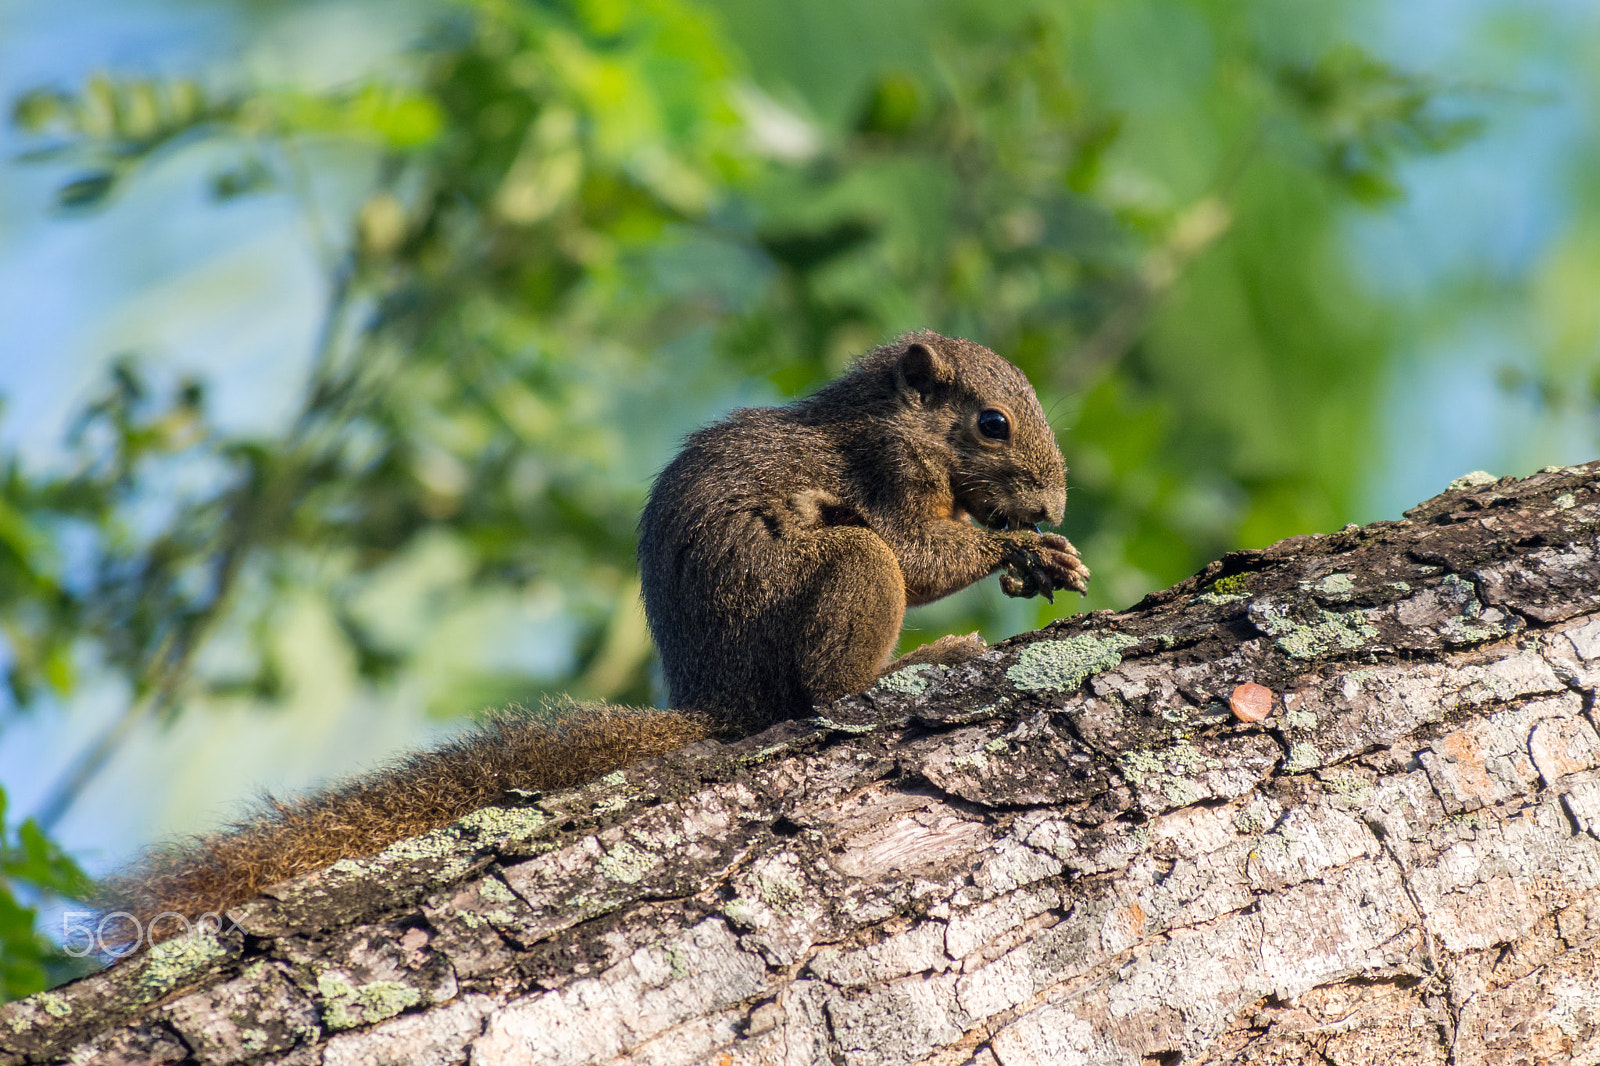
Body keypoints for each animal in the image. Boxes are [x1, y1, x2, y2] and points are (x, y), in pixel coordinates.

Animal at [104, 331, 1087, 948]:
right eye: (992, 422)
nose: (1051, 504)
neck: (890, 418)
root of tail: (718, 698)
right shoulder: (883, 477)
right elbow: (917, 552)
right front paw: (1025, 551)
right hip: (845, 572)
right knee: (825, 685)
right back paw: (923, 659)